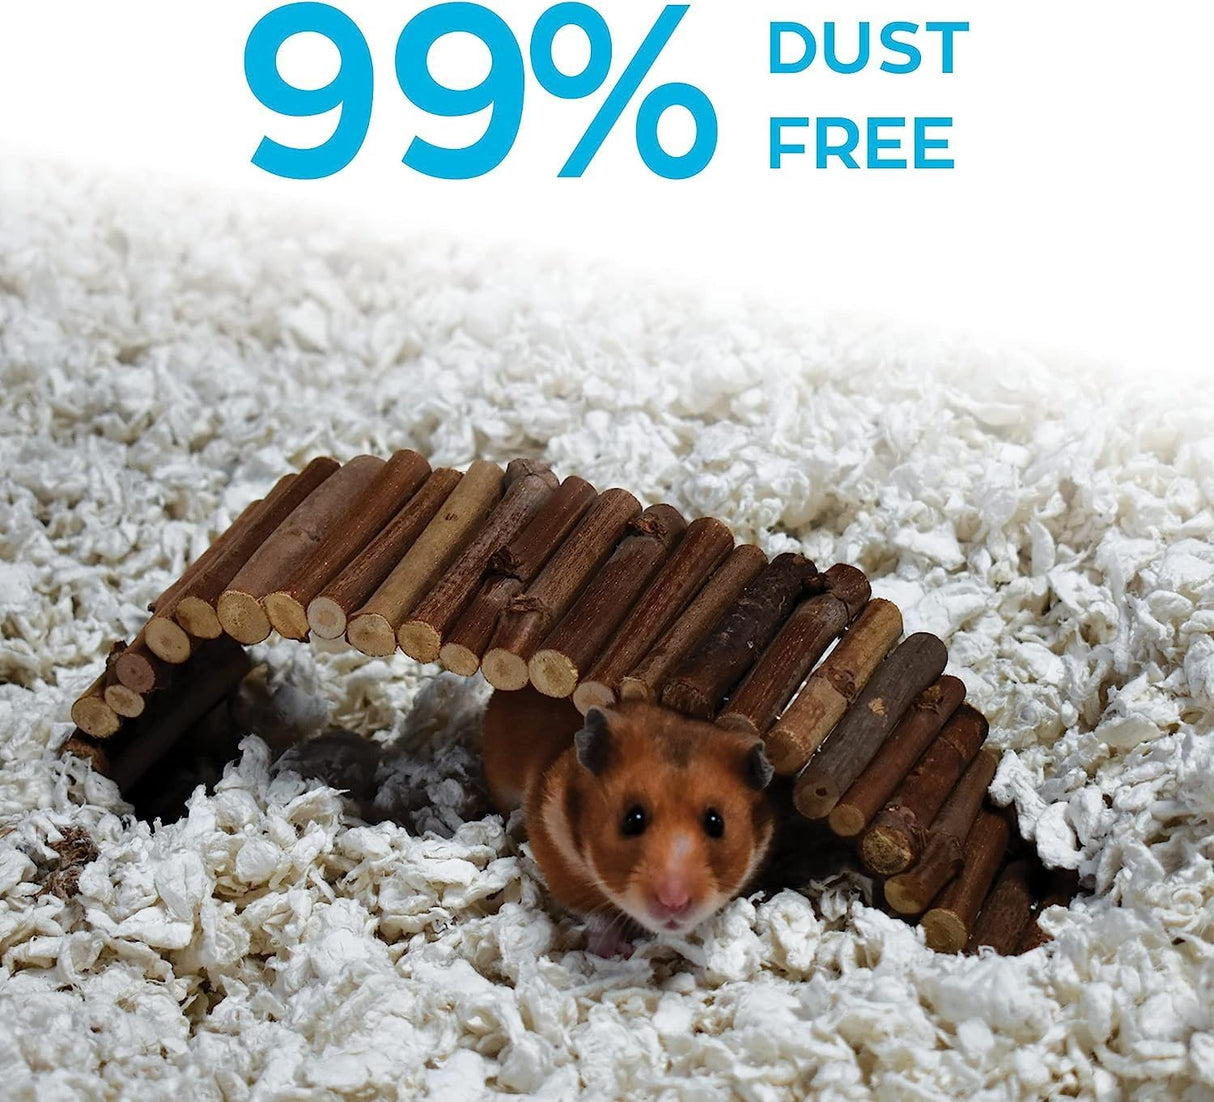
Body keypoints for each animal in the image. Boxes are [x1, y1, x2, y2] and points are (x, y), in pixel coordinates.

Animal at [482, 686, 776, 956]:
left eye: (716, 823)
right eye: (632, 820)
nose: (674, 902)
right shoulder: (556, 854)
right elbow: (594, 913)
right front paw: (617, 950)